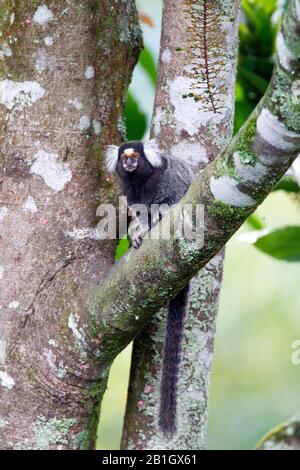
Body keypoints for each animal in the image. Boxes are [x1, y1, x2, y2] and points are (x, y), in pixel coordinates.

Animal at [105, 139, 195, 436]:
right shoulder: (130, 192)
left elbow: (175, 198)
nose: (130, 162)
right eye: (125, 157)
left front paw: (159, 216)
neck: (141, 180)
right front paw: (138, 232)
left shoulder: (169, 181)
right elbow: (140, 214)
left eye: (135, 156)